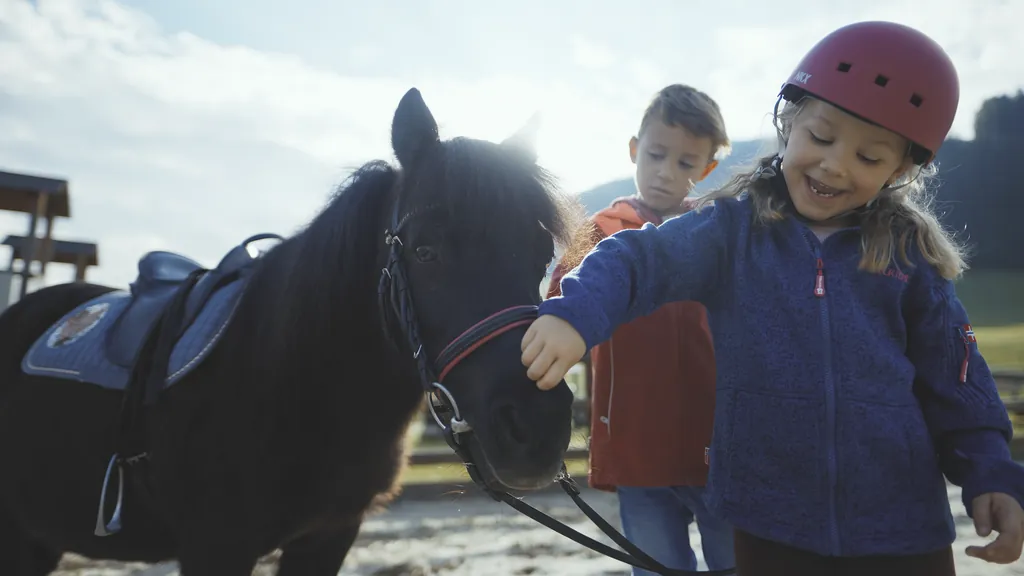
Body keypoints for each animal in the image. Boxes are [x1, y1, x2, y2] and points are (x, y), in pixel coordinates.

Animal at [0, 87, 580, 575]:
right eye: (425, 251)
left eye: (540, 255)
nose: (538, 427)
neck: (291, 378)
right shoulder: (216, 546)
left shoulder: (328, 536)